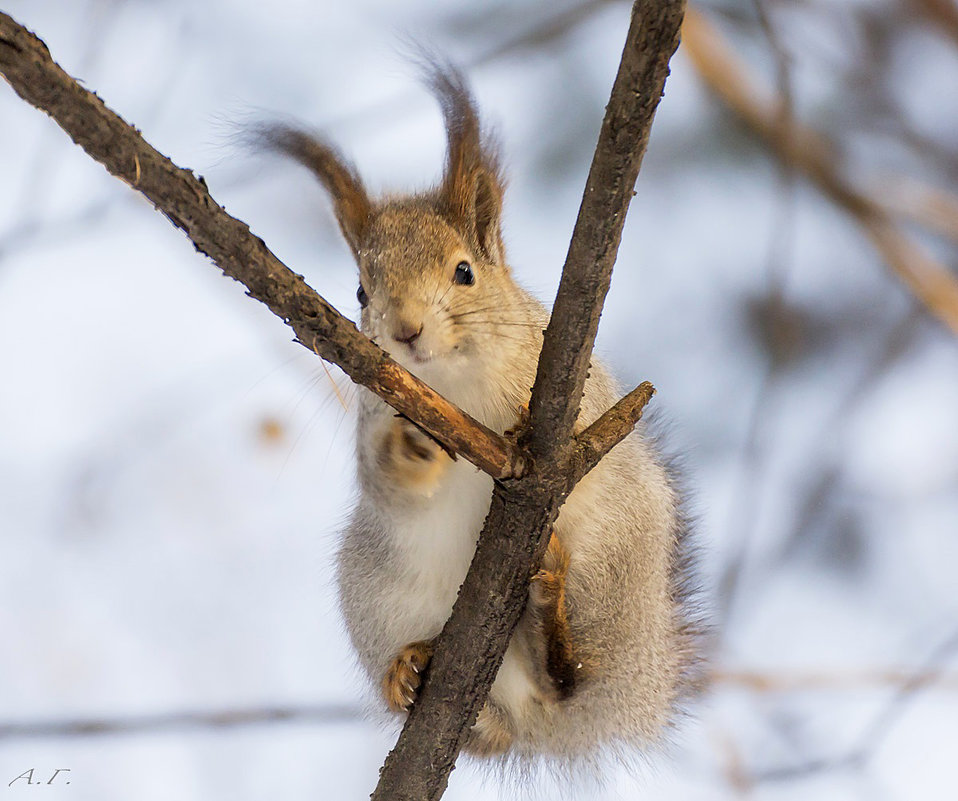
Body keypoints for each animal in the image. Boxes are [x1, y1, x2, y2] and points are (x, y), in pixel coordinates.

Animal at [264, 64, 704, 764]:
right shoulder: (373, 413)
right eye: (361, 290)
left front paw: (524, 424)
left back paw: (549, 622)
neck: (455, 385)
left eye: (464, 272)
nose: (406, 330)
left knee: (571, 677)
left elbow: (581, 433)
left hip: (615, 568)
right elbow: (382, 482)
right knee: (491, 733)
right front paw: (410, 450)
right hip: (377, 595)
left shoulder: (578, 380)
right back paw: (410, 672)